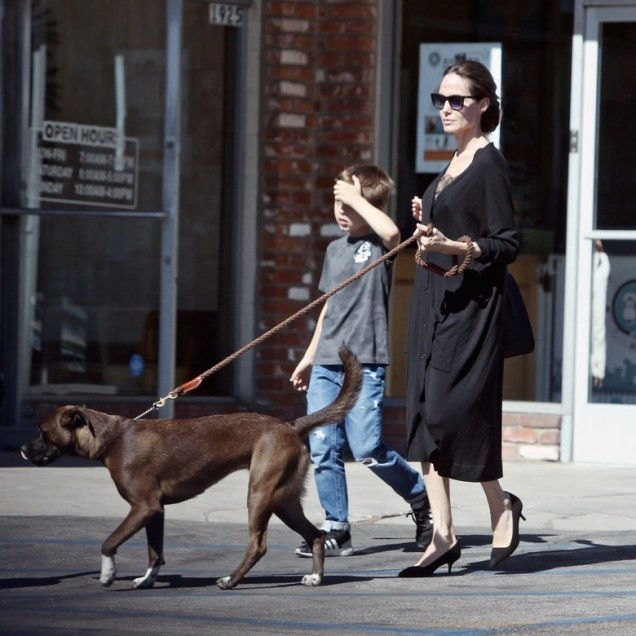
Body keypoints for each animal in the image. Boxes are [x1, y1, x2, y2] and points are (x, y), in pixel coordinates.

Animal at [21, 346, 362, 588]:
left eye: (42, 431)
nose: (23, 450)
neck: (111, 438)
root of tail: (290, 426)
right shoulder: (155, 511)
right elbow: (155, 552)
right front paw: (146, 580)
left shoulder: (143, 507)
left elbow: (109, 542)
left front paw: (107, 574)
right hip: (284, 500)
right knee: (315, 535)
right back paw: (315, 577)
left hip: (261, 494)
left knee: (258, 545)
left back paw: (230, 581)